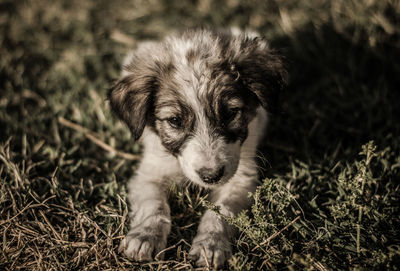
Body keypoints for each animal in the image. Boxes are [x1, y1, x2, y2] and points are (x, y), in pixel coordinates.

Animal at [108, 28, 286, 268]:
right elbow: (153, 204)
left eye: (230, 114)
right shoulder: (149, 173)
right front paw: (145, 236)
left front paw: (210, 245)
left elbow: (220, 212)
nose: (211, 176)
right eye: (174, 121)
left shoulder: (241, 177)